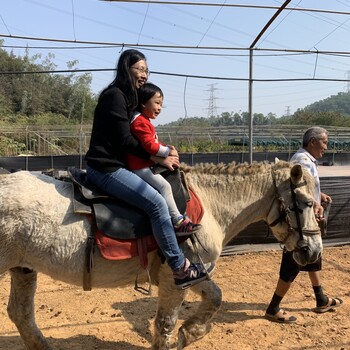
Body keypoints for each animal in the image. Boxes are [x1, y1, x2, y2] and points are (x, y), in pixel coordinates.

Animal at [0, 161, 322, 350]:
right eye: (306, 202)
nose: (314, 251)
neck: (208, 204)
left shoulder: (194, 272)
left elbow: (215, 298)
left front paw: (191, 332)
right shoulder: (174, 277)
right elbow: (166, 322)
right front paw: (181, 334)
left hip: (23, 268)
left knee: (21, 314)